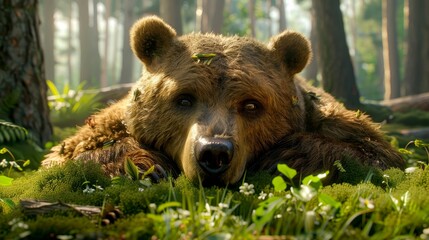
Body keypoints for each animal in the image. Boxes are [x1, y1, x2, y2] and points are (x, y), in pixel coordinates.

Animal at [42, 16, 402, 186]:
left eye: (252, 104)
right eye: (184, 99)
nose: (214, 152)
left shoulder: (329, 119)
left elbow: (381, 154)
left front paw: (289, 155)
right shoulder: (111, 122)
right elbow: (65, 156)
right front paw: (145, 163)